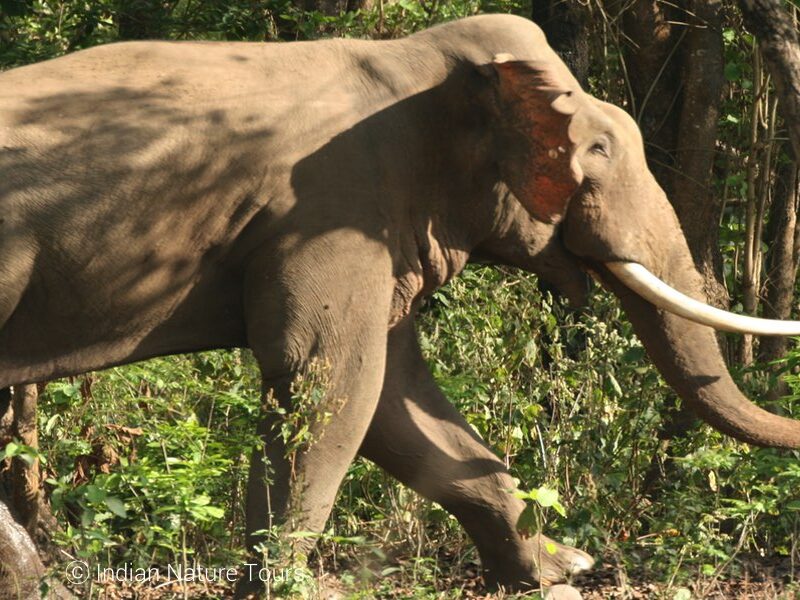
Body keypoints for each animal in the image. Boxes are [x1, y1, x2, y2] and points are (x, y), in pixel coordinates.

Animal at [1, 11, 800, 596]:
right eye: (598, 150)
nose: (594, 558)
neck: (408, 62)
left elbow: (397, 398)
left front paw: (557, 572)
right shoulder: (330, 209)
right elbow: (332, 384)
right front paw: (280, 589)